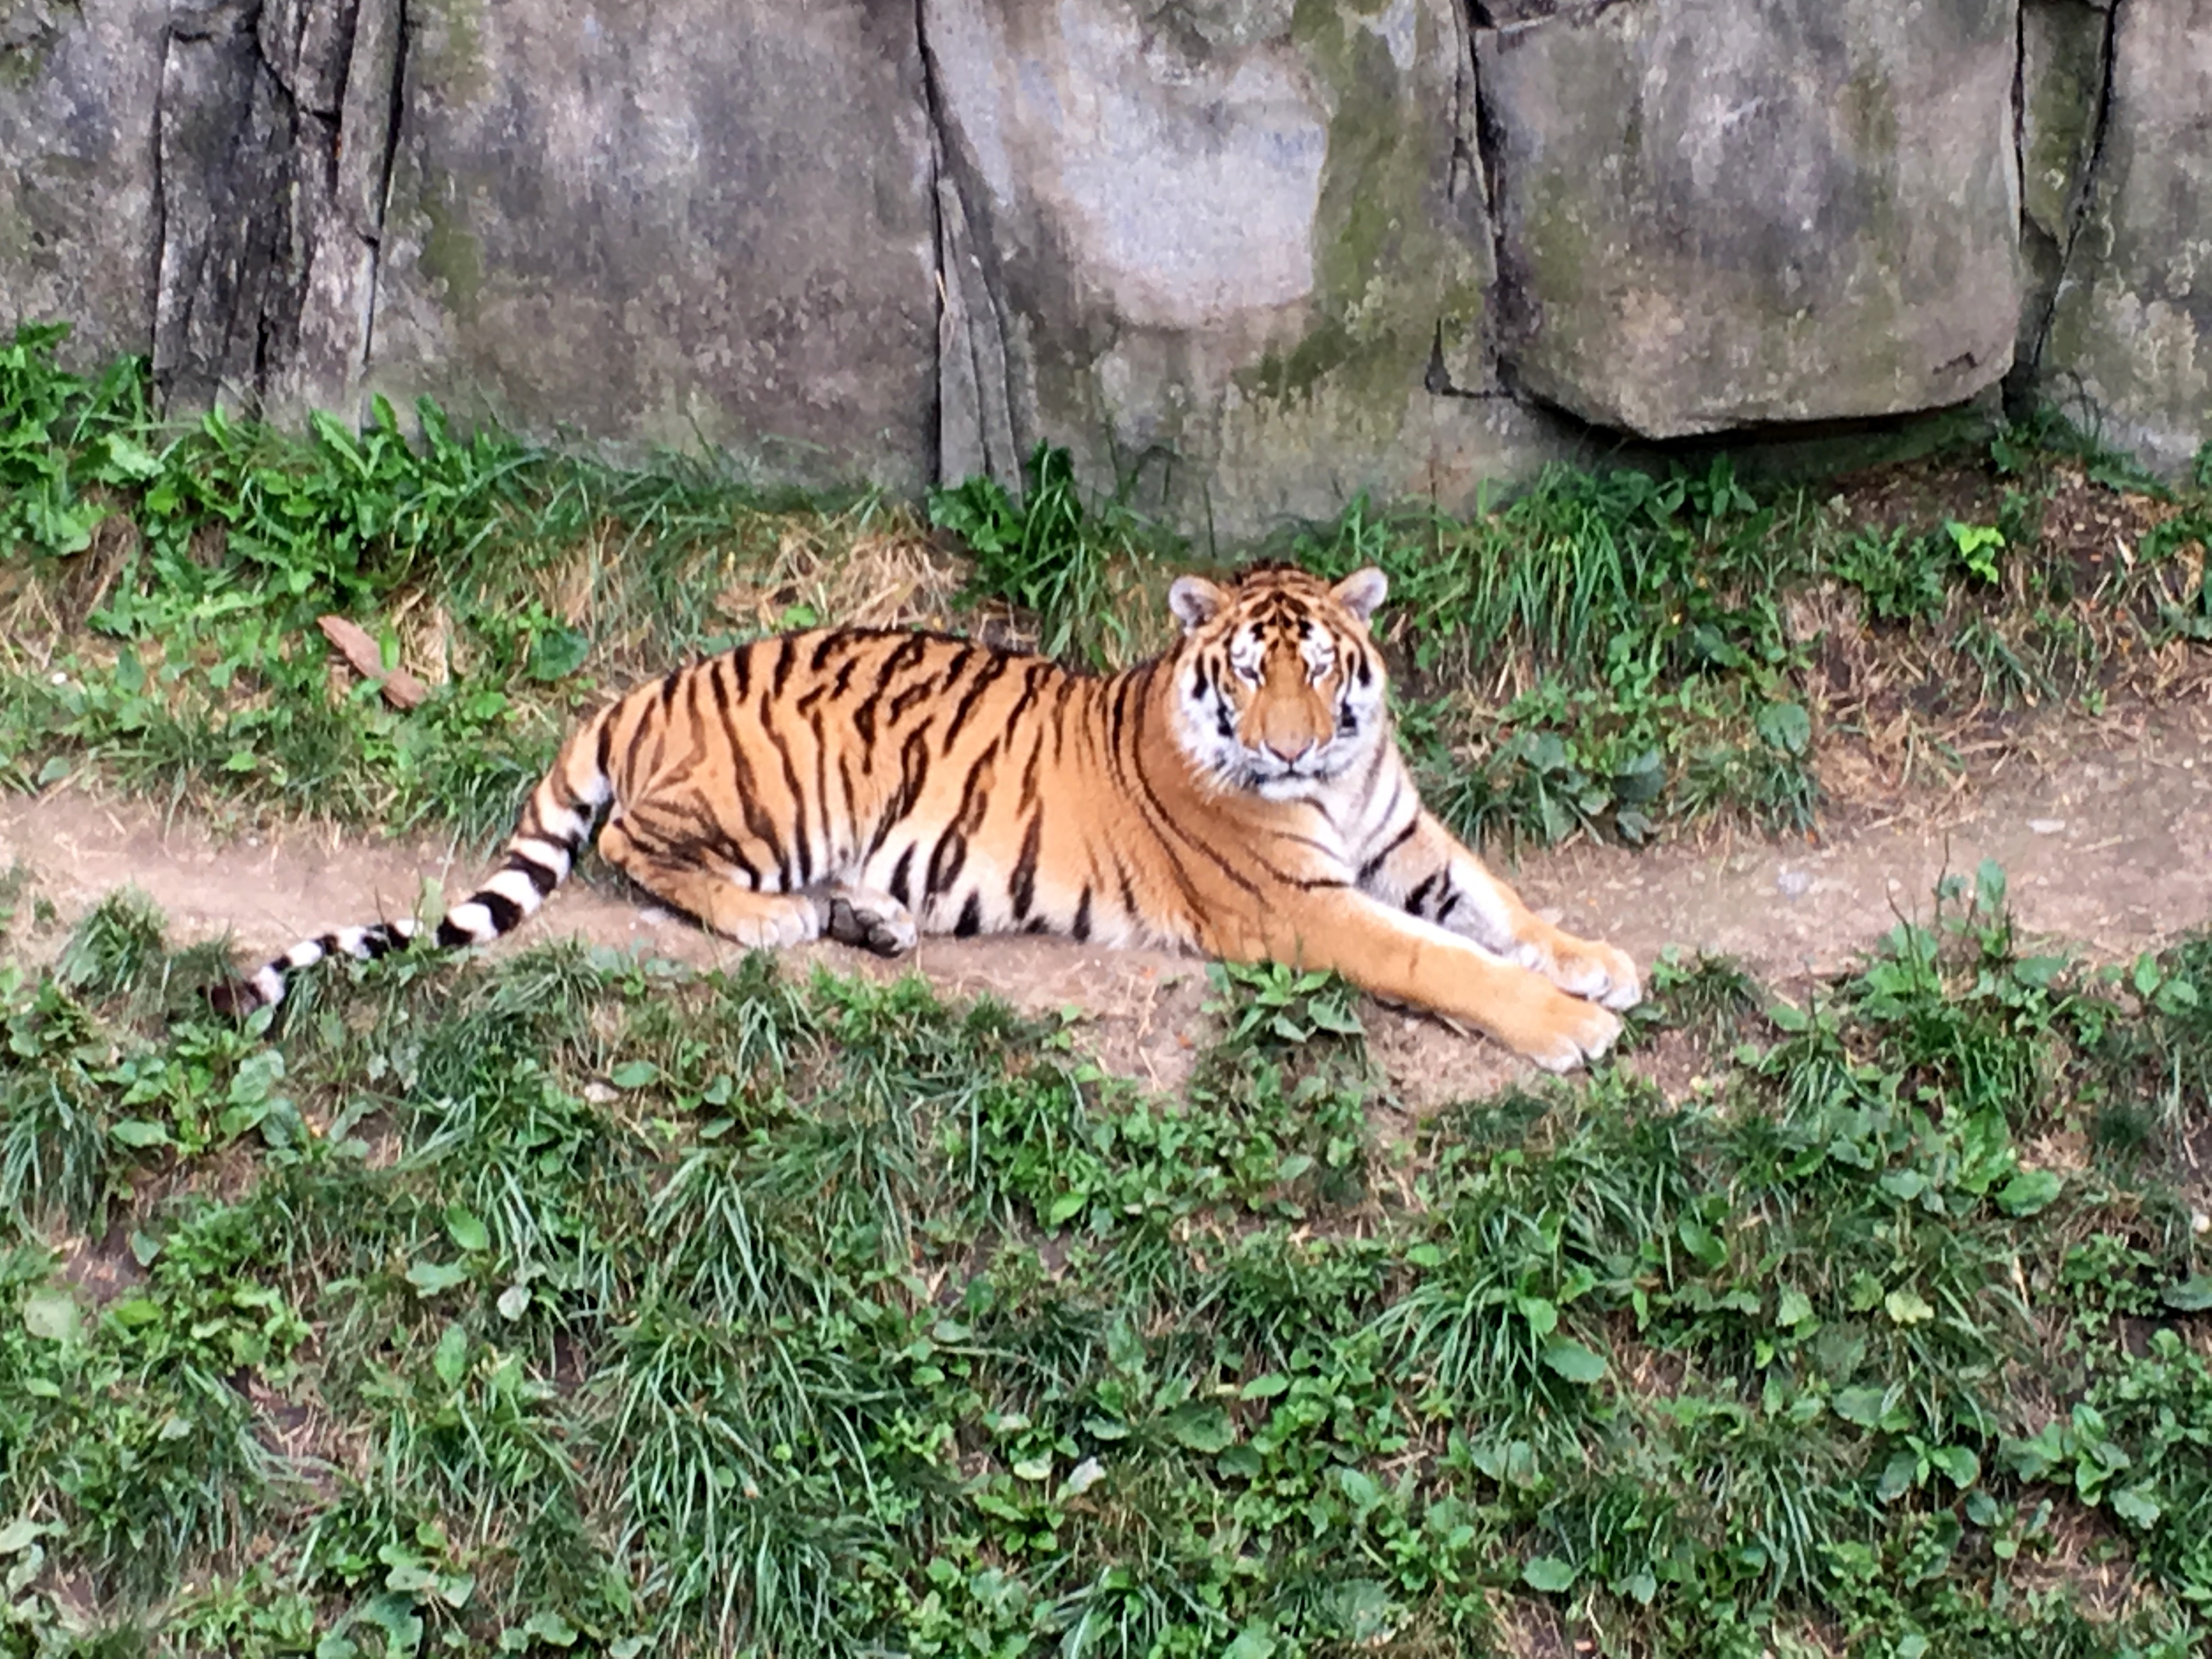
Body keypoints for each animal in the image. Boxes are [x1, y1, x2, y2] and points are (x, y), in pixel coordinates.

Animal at [216, 566, 1645, 1070]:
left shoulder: (1403, 837)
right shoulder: (1303, 906)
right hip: (774, 789)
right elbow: (1443, 960)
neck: (1336, 788)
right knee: (636, 846)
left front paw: (1600, 963)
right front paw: (1570, 1027)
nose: (1290, 747)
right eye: (1248, 673)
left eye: (1319, 668)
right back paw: (778, 922)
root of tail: (649, 685)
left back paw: (874, 920)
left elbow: (1498, 901)